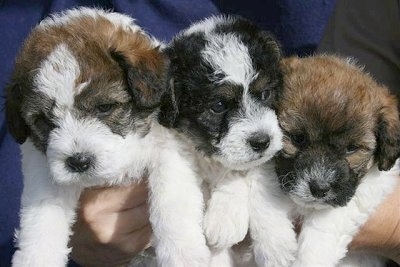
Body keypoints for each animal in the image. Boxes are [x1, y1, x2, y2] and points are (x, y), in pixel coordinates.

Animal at [5, 7, 209, 267]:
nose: (78, 162)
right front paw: (36, 257)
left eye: (104, 107)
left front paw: (183, 254)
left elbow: (172, 201)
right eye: (43, 120)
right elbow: (41, 218)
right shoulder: (43, 169)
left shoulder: (171, 150)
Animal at [160, 15, 296, 266]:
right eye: (219, 106)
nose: (261, 141)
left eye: (265, 94)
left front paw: (275, 247)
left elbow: (264, 190)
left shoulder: (268, 160)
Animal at [274, 55, 400, 266]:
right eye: (298, 138)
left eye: (351, 148)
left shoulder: (373, 185)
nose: (319, 188)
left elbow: (326, 222)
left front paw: (310, 258)